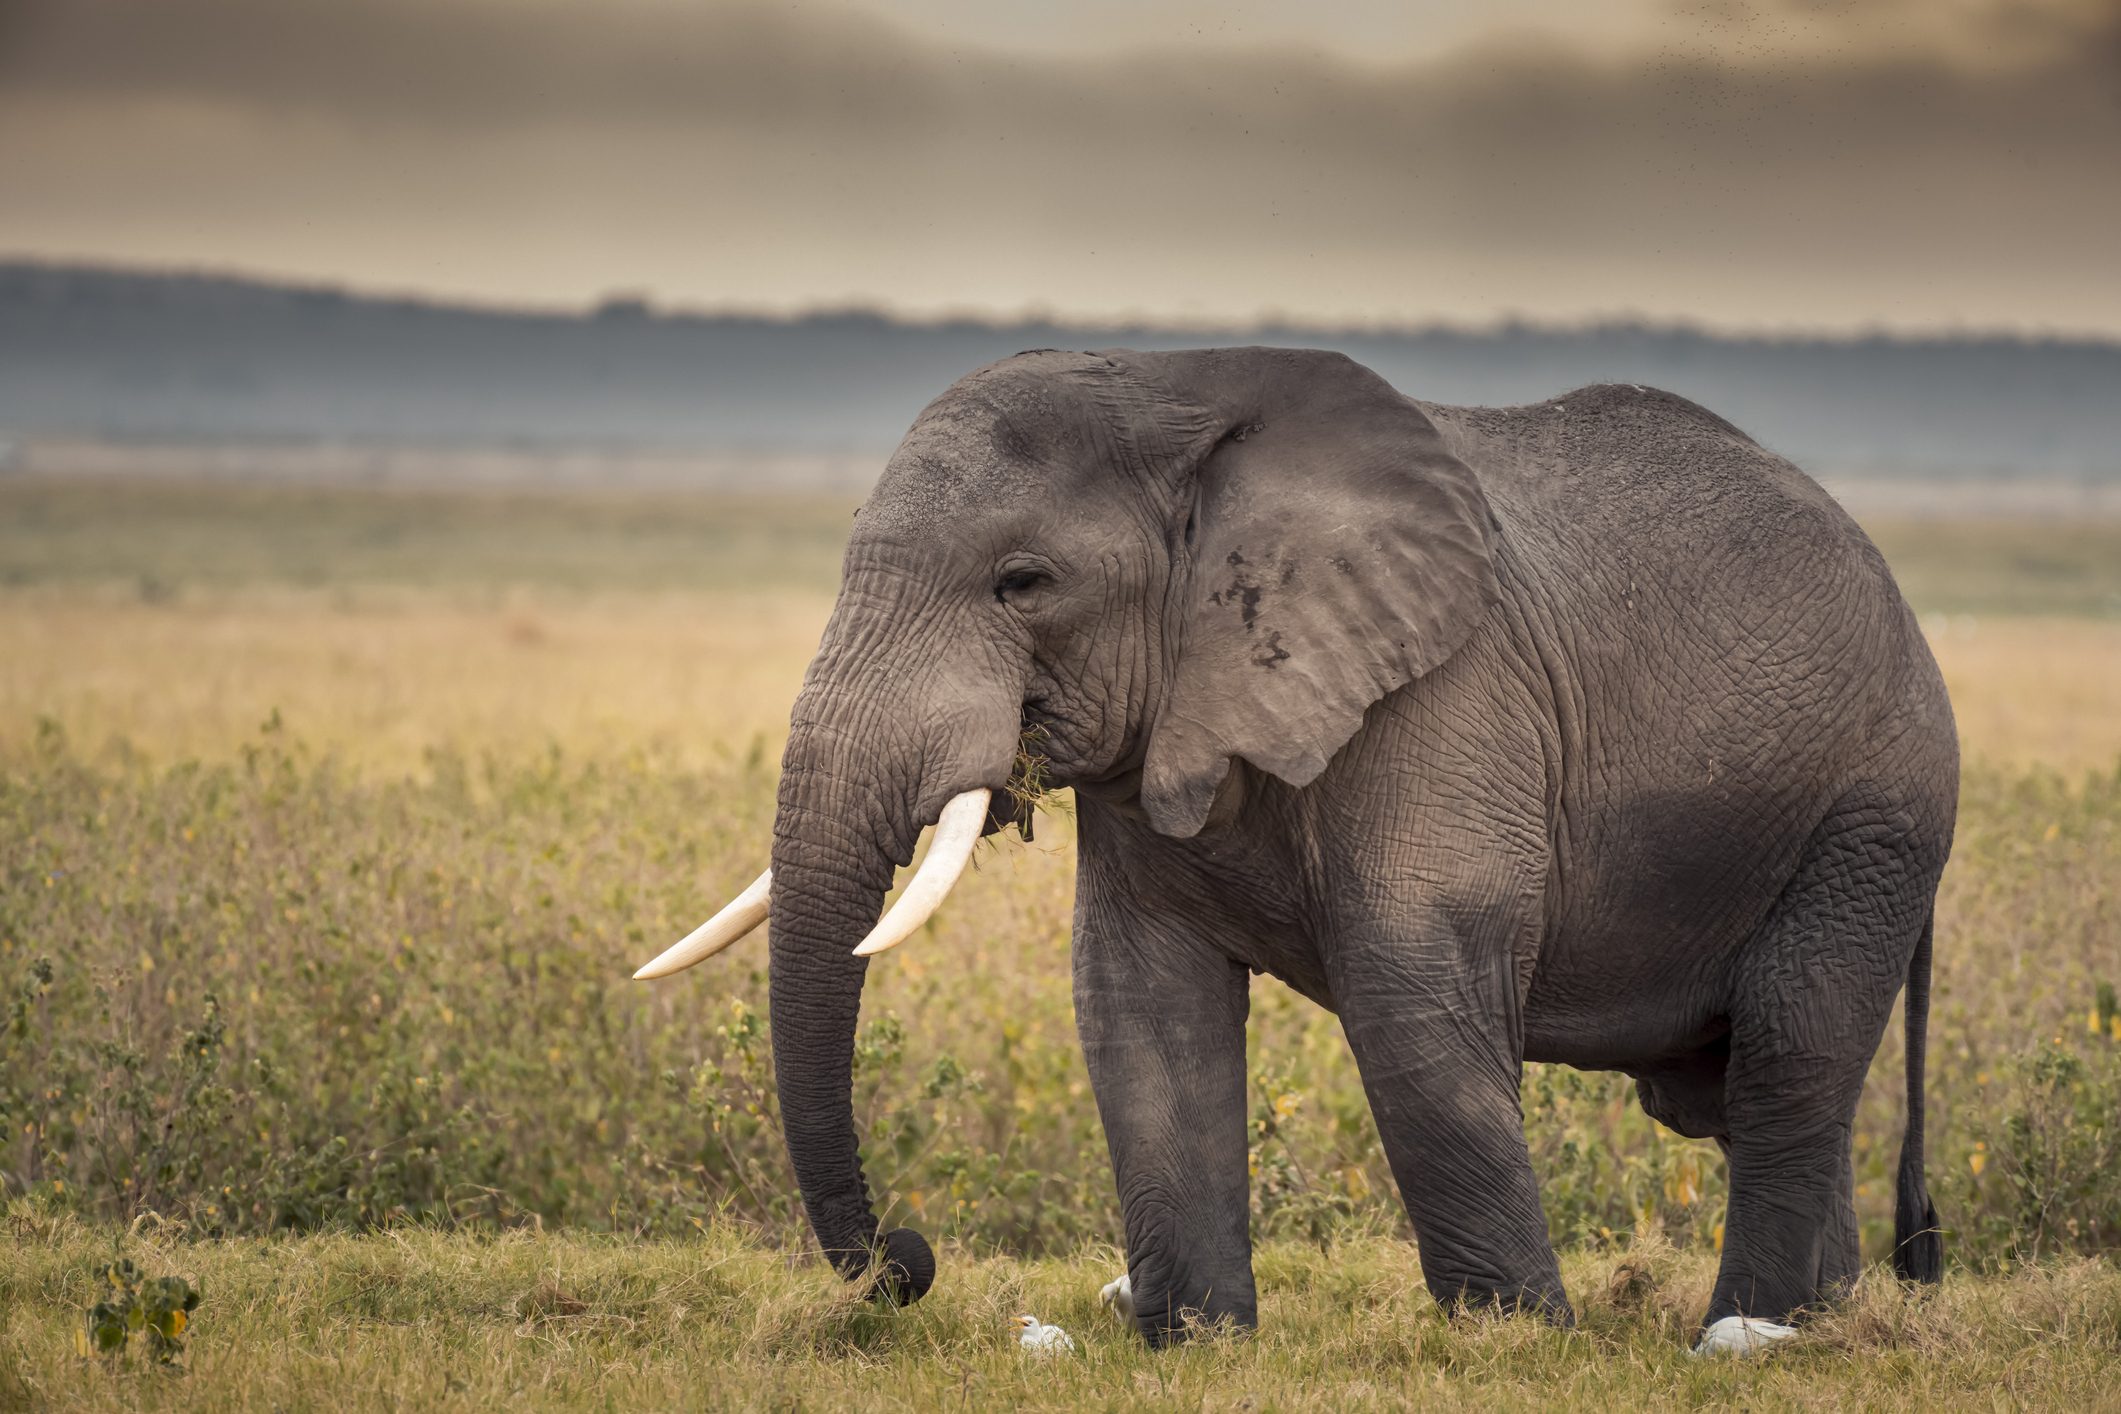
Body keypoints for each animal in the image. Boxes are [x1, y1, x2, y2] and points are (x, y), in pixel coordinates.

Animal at [632, 347, 1951, 1356]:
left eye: (1023, 582)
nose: (907, 1259)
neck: (1170, 397)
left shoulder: (1444, 695)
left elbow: (1412, 991)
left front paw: (1516, 1344)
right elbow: (1137, 1004)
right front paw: (1189, 1339)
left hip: (1872, 820)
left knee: (1788, 1046)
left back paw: (1747, 1334)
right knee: (1730, 1089)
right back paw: (1827, 1321)